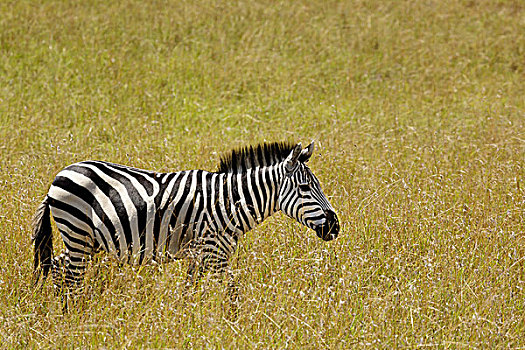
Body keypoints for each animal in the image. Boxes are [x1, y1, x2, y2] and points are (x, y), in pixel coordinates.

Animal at [31, 142, 340, 300]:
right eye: (305, 188)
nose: (335, 226)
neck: (228, 202)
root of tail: (60, 175)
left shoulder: (200, 254)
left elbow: (190, 290)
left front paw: (187, 319)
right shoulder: (216, 252)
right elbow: (232, 291)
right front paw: (233, 324)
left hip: (84, 241)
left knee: (56, 267)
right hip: (78, 233)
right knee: (70, 276)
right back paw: (71, 314)